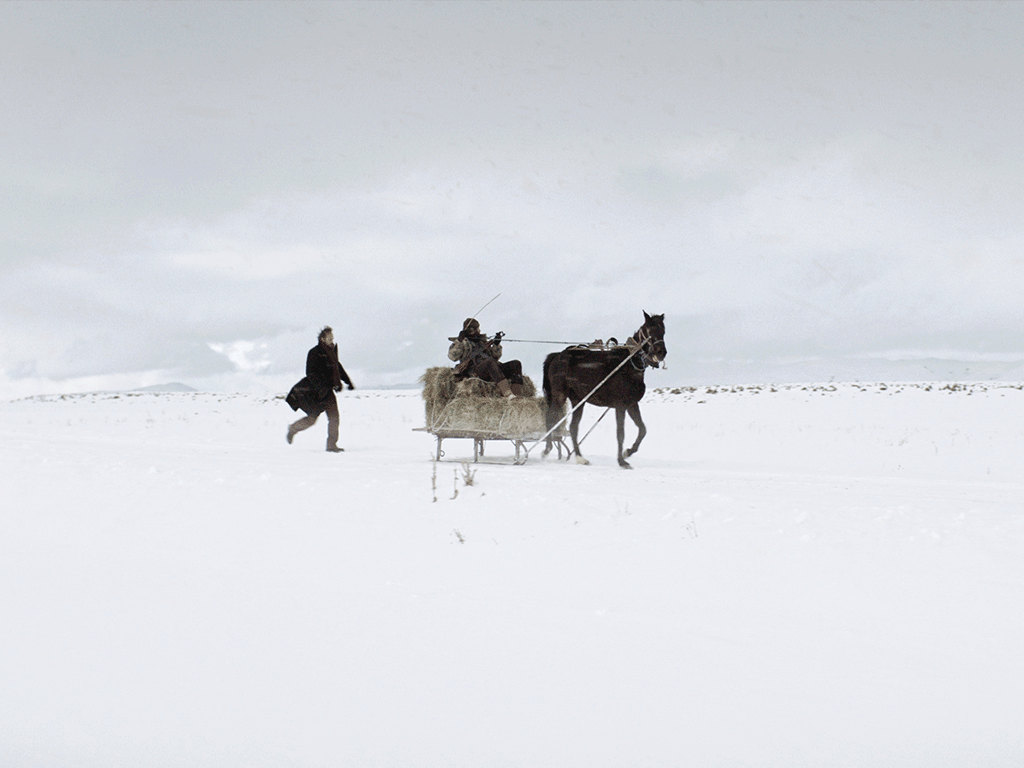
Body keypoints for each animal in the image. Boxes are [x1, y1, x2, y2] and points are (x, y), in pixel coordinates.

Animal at [544, 313, 663, 468]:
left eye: (663, 330)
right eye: (649, 330)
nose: (661, 353)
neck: (629, 364)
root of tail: (558, 355)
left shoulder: (632, 404)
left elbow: (642, 429)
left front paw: (628, 452)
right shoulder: (620, 405)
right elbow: (620, 433)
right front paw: (621, 461)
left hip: (578, 400)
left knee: (573, 427)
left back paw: (580, 458)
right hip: (559, 395)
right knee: (550, 418)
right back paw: (547, 449)